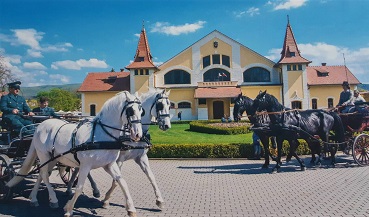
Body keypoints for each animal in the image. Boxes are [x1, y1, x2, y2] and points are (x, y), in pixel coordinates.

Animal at [6, 90, 144, 216]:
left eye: (141, 110)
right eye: (130, 111)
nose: (138, 134)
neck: (100, 135)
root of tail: (39, 126)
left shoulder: (109, 164)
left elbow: (122, 182)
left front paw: (131, 209)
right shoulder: (85, 165)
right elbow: (79, 187)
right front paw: (68, 209)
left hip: (53, 158)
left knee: (41, 174)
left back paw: (34, 198)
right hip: (43, 155)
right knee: (45, 175)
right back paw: (53, 200)